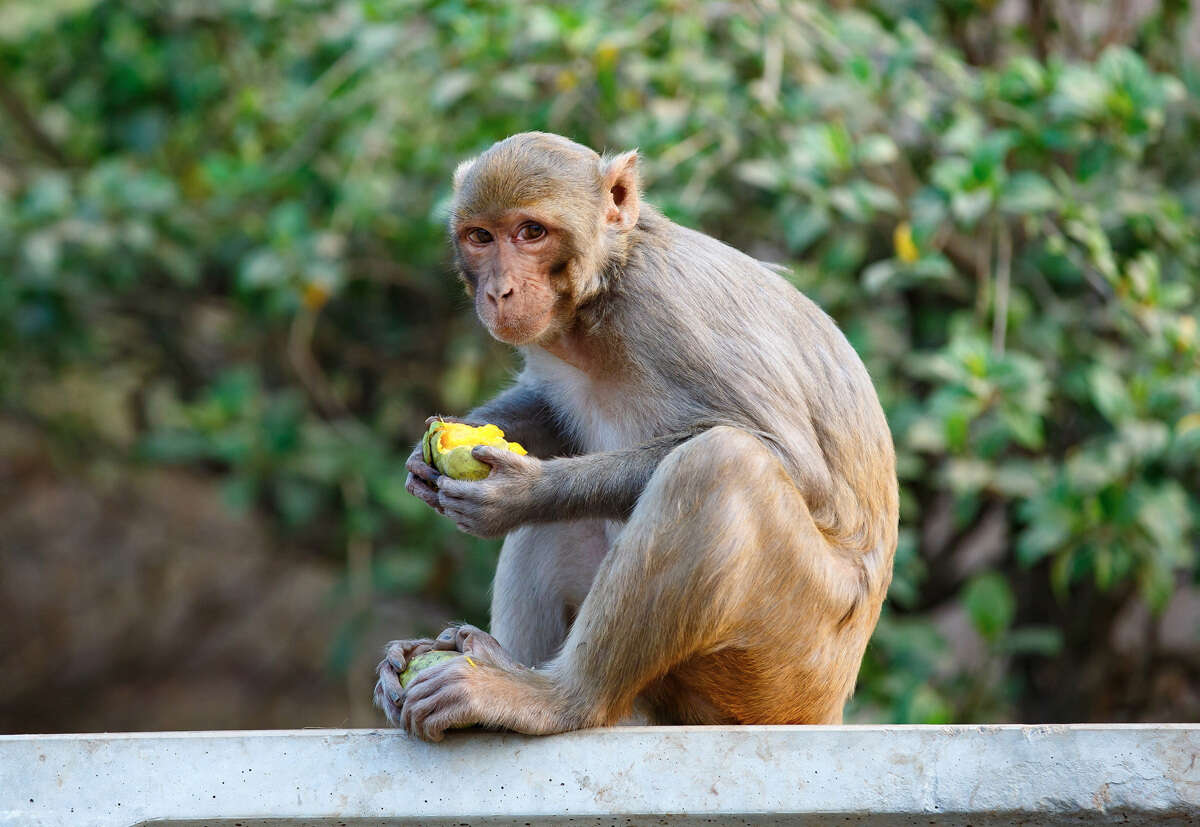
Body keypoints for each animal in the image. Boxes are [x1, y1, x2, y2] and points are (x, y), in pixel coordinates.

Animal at [373, 132, 898, 741]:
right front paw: (424, 459)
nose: (500, 292)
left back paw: (555, 699)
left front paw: (523, 493)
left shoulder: (669, 308)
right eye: (481, 237)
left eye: (531, 232)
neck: (603, 294)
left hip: (790, 662)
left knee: (720, 464)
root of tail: (834, 700)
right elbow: (549, 413)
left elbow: (791, 459)